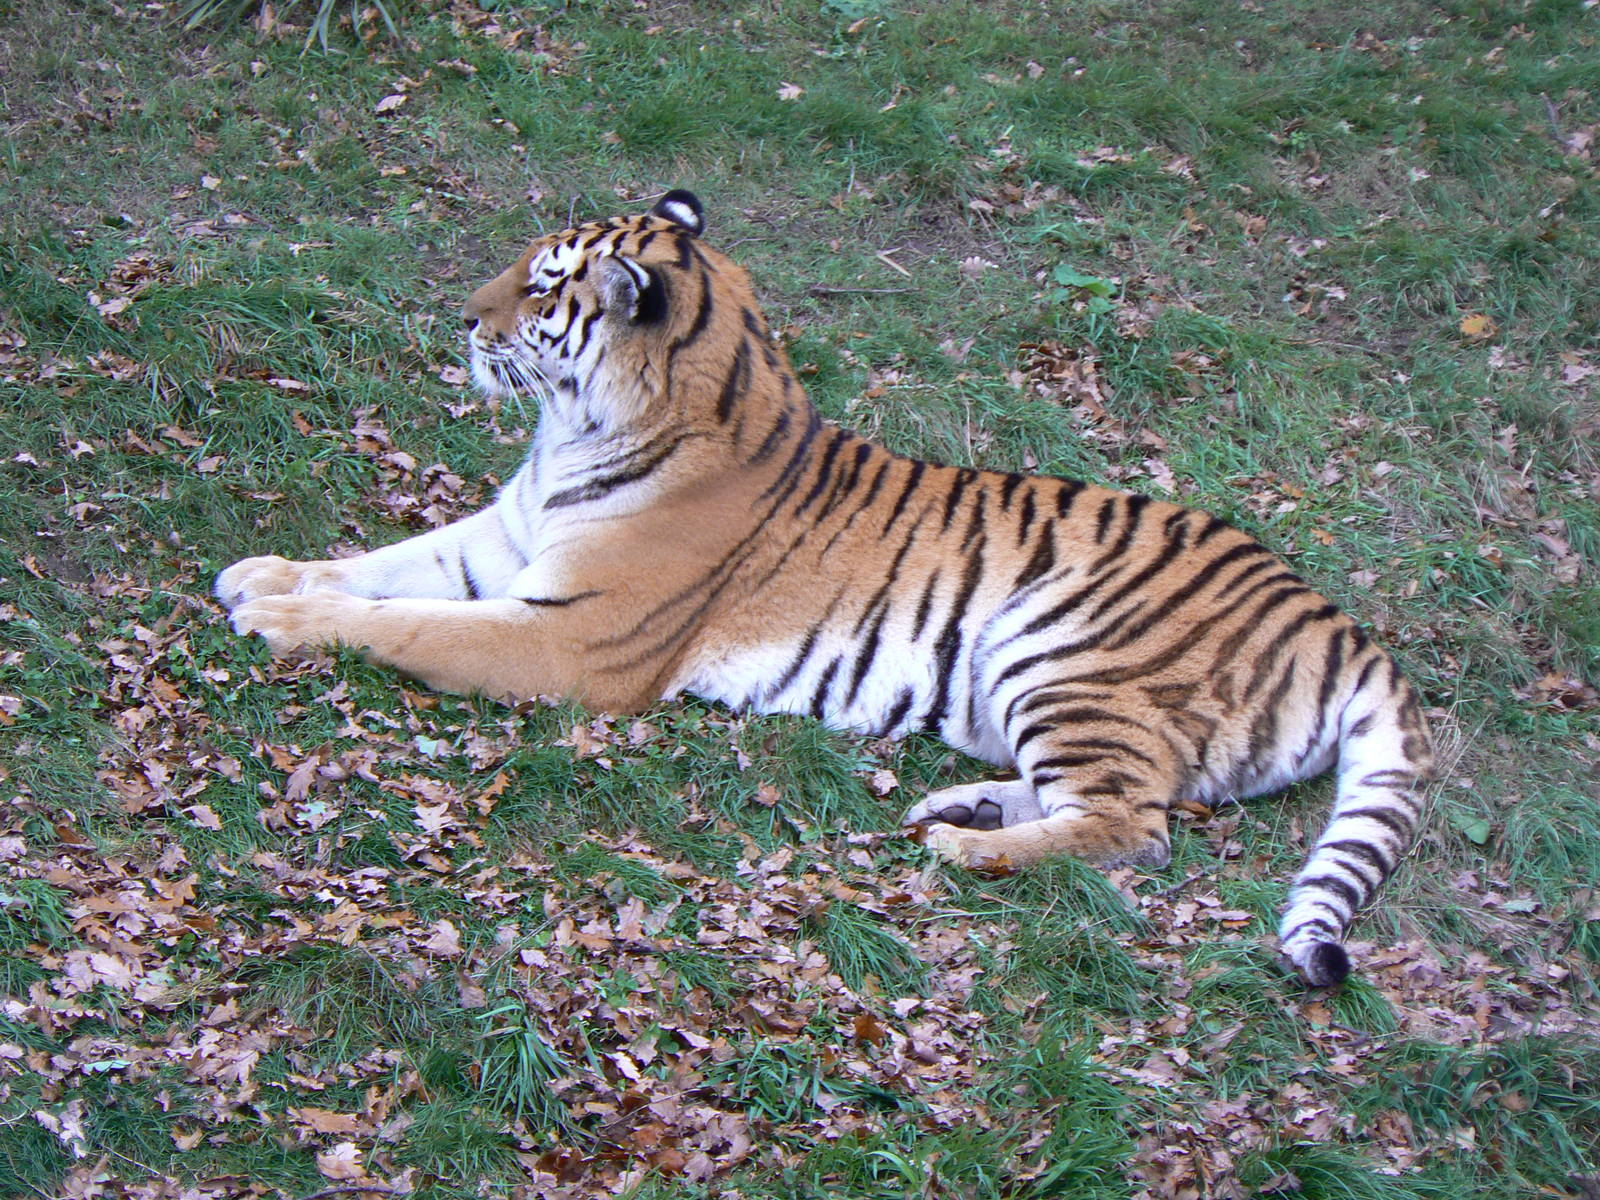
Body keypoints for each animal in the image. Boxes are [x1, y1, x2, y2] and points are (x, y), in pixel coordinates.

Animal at [217, 189, 1433, 987]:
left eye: (545, 283)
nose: (465, 318)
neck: (575, 433)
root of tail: (1339, 620)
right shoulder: (501, 540)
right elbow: (384, 563)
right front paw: (261, 572)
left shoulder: (573, 638)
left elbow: (413, 621)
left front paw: (278, 615)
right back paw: (961, 806)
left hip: (1059, 646)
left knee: (1136, 826)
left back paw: (967, 847)